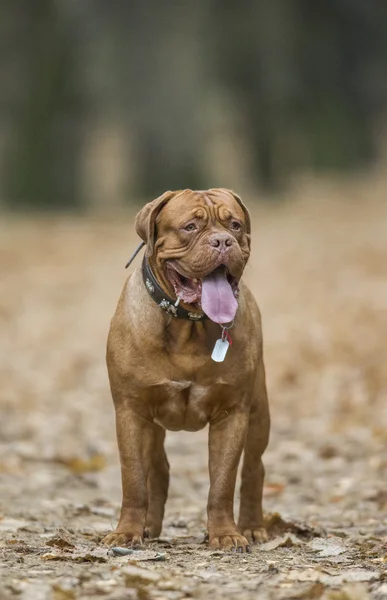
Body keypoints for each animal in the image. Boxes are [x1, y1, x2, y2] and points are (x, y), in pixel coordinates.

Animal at [104, 189, 272, 552]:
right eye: (190, 227)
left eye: (235, 225)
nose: (222, 241)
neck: (189, 325)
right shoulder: (131, 411)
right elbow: (133, 479)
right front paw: (127, 532)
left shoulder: (232, 413)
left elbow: (222, 483)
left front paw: (225, 534)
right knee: (157, 469)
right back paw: (149, 526)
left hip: (259, 415)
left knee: (253, 469)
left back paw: (253, 527)